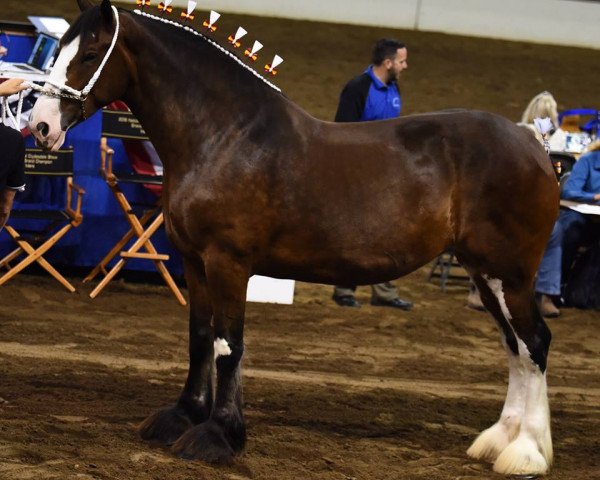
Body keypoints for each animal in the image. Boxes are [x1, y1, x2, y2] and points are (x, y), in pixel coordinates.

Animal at [30, 0, 560, 474]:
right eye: (59, 48)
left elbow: (228, 344)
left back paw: (526, 453)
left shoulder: (228, 262)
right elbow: (200, 338)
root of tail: (532, 141)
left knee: (534, 344)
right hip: (486, 275)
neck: (224, 136)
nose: (40, 125)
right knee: (515, 348)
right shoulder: (193, 262)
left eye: (90, 52)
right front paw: (183, 416)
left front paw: (219, 435)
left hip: (510, 275)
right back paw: (498, 442)